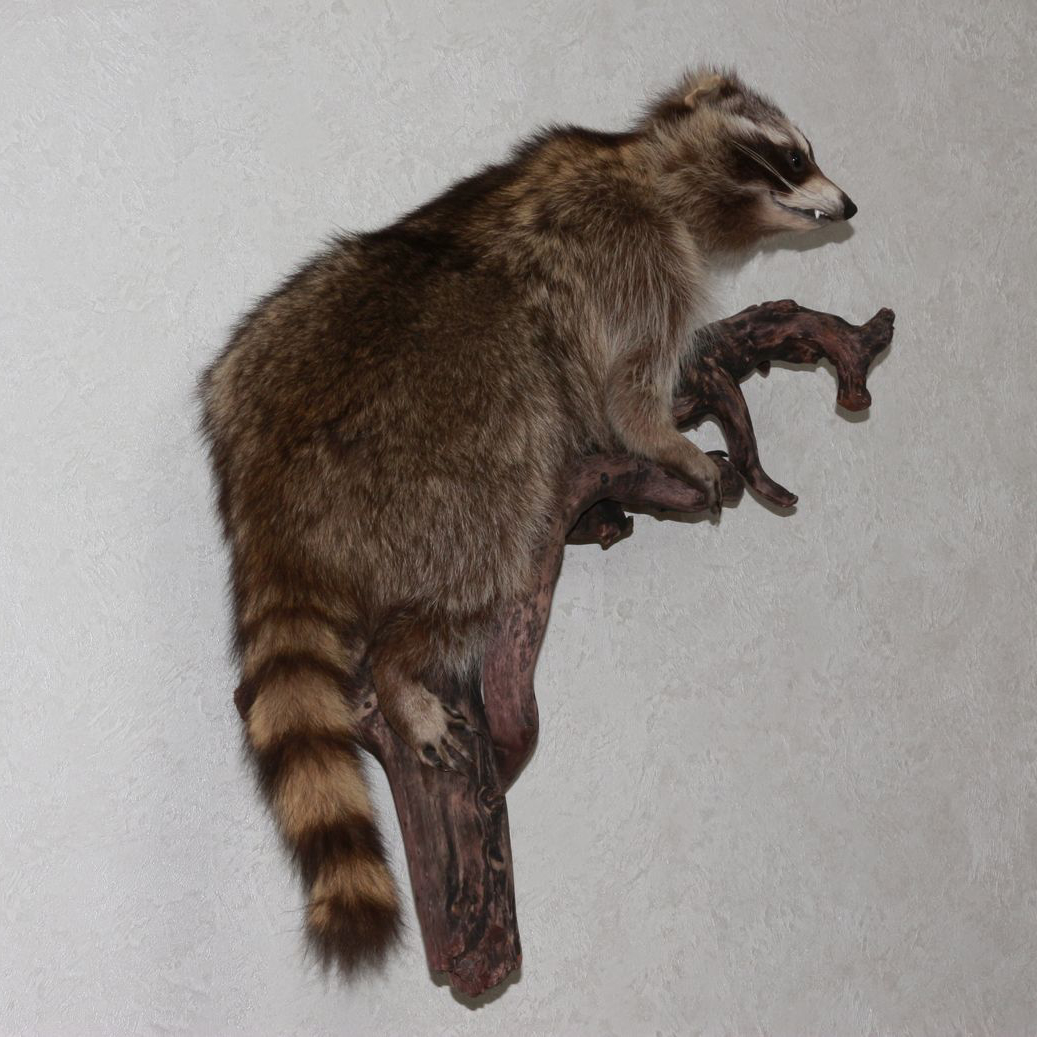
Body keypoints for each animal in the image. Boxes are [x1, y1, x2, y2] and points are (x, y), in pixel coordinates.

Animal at [200, 67, 855, 972]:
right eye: (793, 157)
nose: (850, 201)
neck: (650, 165)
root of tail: (265, 485)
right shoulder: (631, 253)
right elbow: (623, 386)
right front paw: (665, 440)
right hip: (436, 464)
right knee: (488, 550)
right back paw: (402, 664)